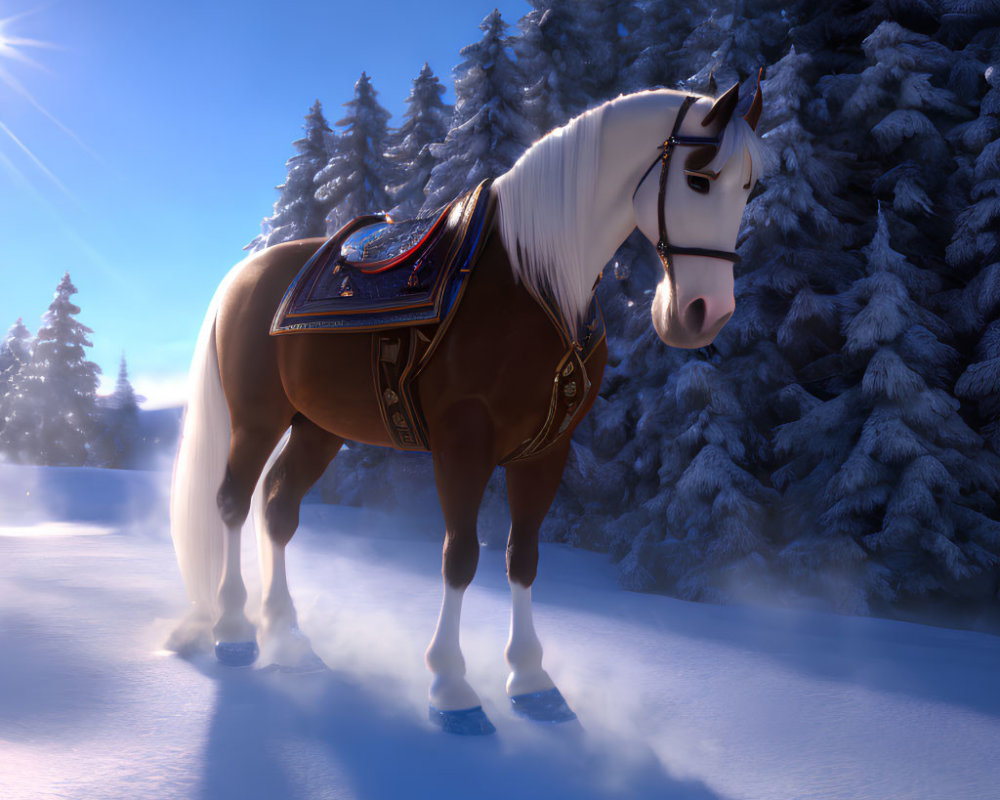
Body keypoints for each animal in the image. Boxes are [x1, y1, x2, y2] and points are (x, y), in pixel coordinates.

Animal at [170, 78, 764, 736]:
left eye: (750, 186)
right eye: (699, 178)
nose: (705, 314)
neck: (536, 281)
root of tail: (246, 273)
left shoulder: (546, 452)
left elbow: (522, 557)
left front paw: (532, 682)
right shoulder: (463, 443)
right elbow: (460, 555)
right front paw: (452, 689)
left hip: (318, 427)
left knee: (278, 508)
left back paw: (288, 640)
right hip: (256, 419)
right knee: (232, 501)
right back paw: (233, 631)